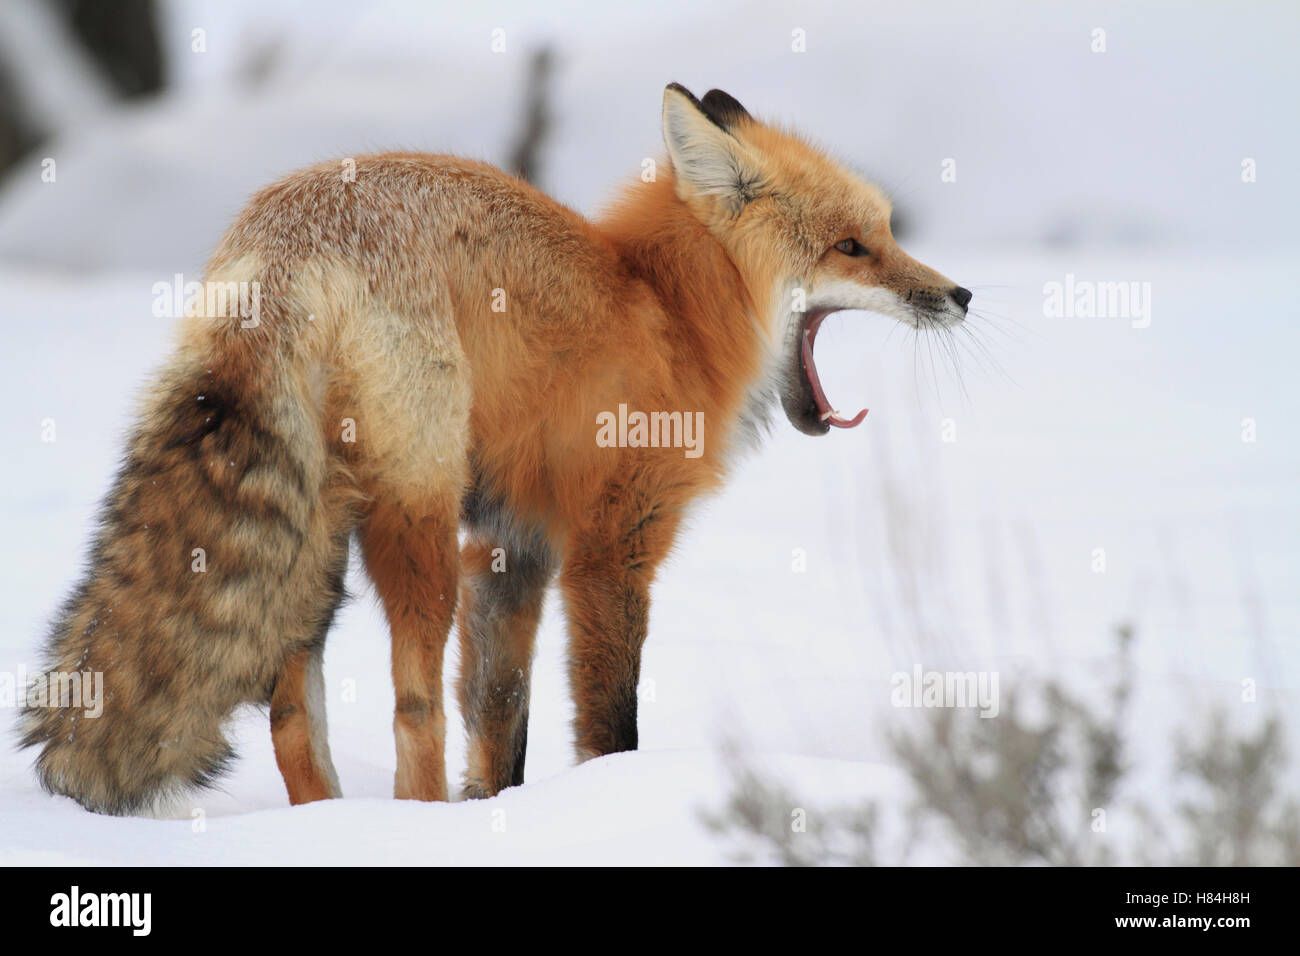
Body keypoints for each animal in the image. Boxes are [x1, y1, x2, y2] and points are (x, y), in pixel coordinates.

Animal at [20, 84, 970, 814]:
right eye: (851, 247)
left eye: (886, 232)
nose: (959, 295)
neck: (667, 308)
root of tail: (285, 241)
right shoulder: (609, 544)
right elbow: (608, 721)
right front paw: (609, 800)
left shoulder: (514, 544)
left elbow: (500, 716)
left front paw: (500, 811)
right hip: (418, 520)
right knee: (413, 712)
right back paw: (413, 825)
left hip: (318, 540)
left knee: (294, 714)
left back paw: (328, 827)